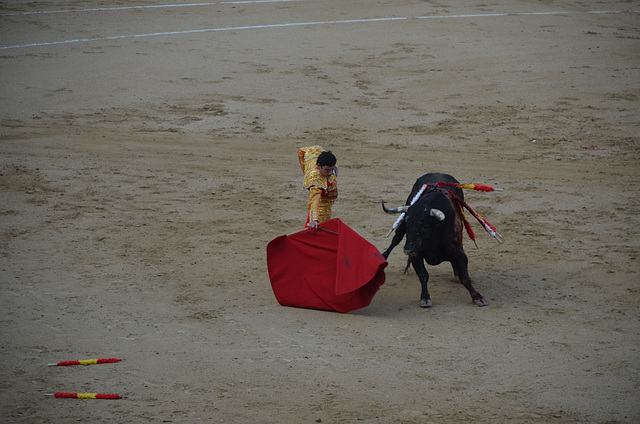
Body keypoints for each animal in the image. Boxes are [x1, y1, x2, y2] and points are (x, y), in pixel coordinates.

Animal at [382, 172, 488, 308]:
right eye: (407, 222)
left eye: (424, 226)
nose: (408, 250)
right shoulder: (416, 254)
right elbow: (423, 275)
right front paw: (425, 297)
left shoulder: (459, 253)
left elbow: (465, 277)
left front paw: (477, 297)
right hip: (401, 230)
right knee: (395, 241)